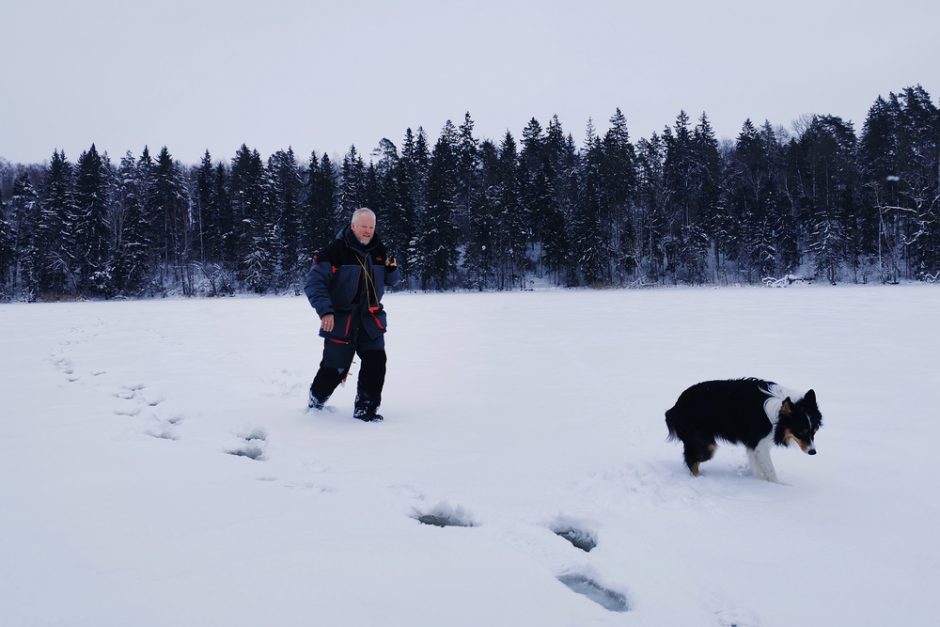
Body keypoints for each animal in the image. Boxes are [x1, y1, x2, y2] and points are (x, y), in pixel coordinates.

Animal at [660, 378, 824, 486]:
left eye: (814, 431)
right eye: (800, 432)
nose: (813, 452)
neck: (777, 413)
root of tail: (674, 408)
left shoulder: (753, 445)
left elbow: (758, 467)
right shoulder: (761, 444)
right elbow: (770, 469)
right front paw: (778, 486)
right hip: (706, 445)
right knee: (691, 460)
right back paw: (699, 480)